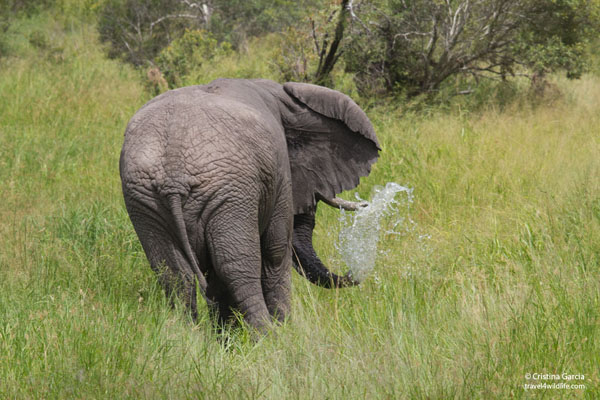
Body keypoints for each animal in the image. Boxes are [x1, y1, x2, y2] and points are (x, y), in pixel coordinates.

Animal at [119, 78, 378, 332]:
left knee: (174, 273)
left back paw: (186, 334)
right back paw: (267, 335)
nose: (356, 270)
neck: (285, 100)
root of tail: (174, 170)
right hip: (230, 194)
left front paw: (226, 337)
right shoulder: (279, 174)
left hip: (145, 200)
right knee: (238, 266)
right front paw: (285, 331)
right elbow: (276, 250)